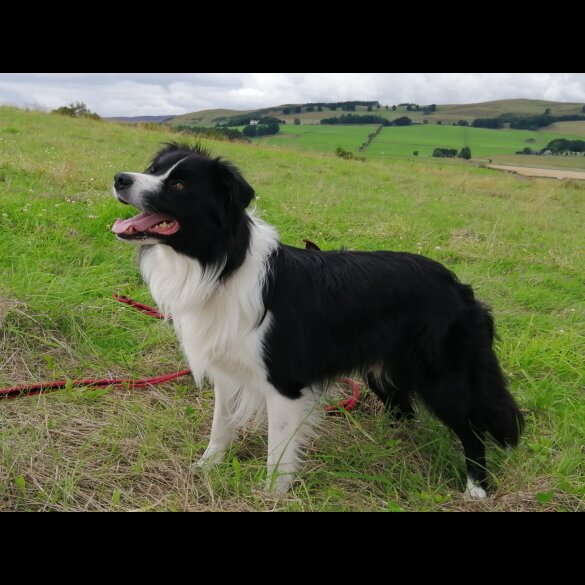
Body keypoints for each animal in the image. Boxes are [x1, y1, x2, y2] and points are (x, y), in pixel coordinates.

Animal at [112, 140, 524, 492]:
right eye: (154, 169)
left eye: (179, 184)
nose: (119, 178)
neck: (222, 264)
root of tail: (460, 287)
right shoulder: (227, 368)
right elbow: (220, 427)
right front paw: (207, 467)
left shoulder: (284, 383)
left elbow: (278, 452)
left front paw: (272, 496)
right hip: (387, 369)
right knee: (405, 409)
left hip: (441, 378)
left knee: (472, 430)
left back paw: (477, 488)